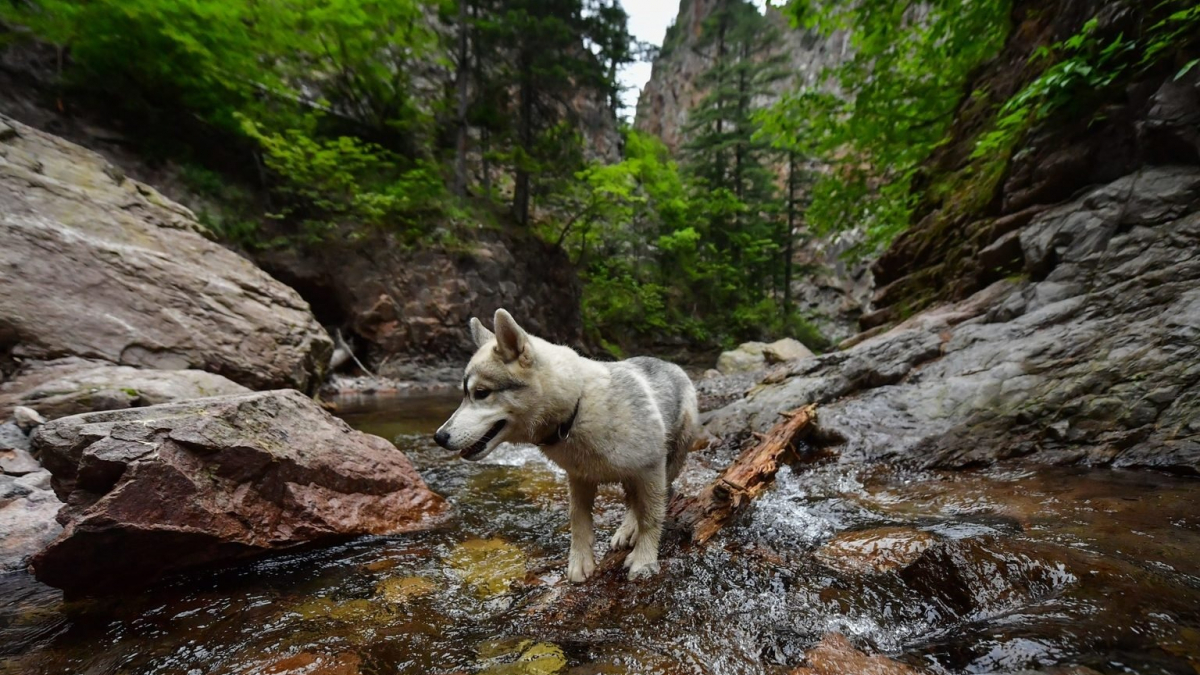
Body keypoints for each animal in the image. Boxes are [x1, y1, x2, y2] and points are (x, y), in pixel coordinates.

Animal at [434, 309, 700, 578]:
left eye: (481, 393)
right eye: (465, 394)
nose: (439, 437)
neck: (576, 408)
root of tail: (671, 364)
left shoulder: (650, 470)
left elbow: (650, 517)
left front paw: (644, 560)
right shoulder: (579, 477)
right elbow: (578, 520)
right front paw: (580, 562)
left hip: (671, 459)